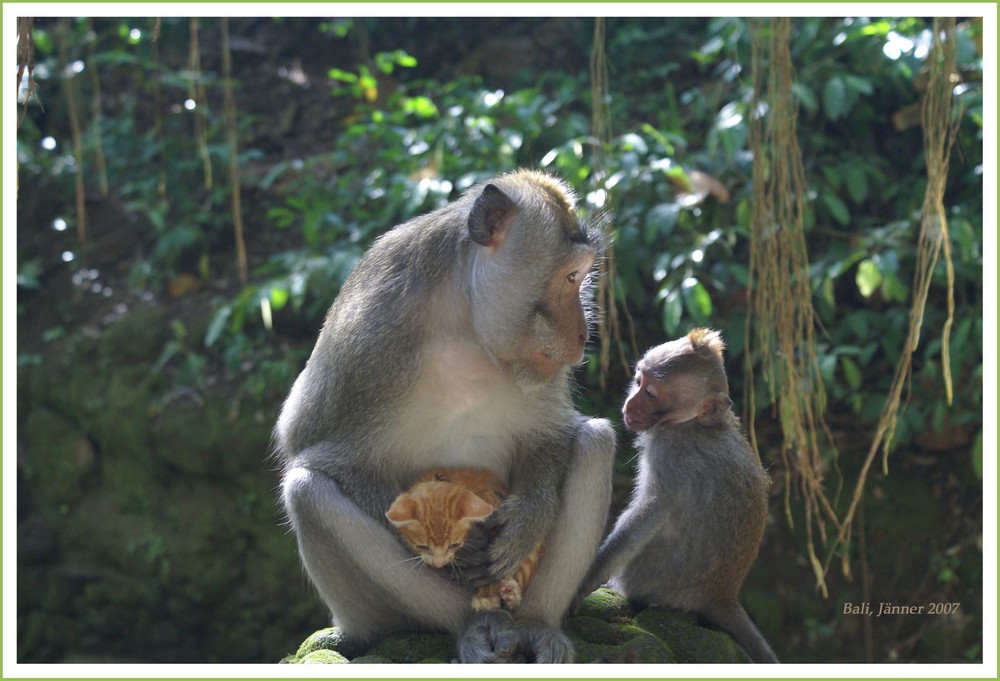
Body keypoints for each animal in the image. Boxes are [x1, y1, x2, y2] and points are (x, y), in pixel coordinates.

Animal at [386, 468, 544, 612]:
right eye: (422, 547)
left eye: (454, 545)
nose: (439, 564)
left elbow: (493, 567)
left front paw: (486, 595)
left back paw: (511, 594)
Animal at [580, 326, 780, 660]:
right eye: (638, 381)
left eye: (650, 393)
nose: (629, 404)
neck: (691, 422)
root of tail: (722, 594)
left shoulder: (669, 452)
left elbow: (647, 514)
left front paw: (589, 578)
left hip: (651, 581)